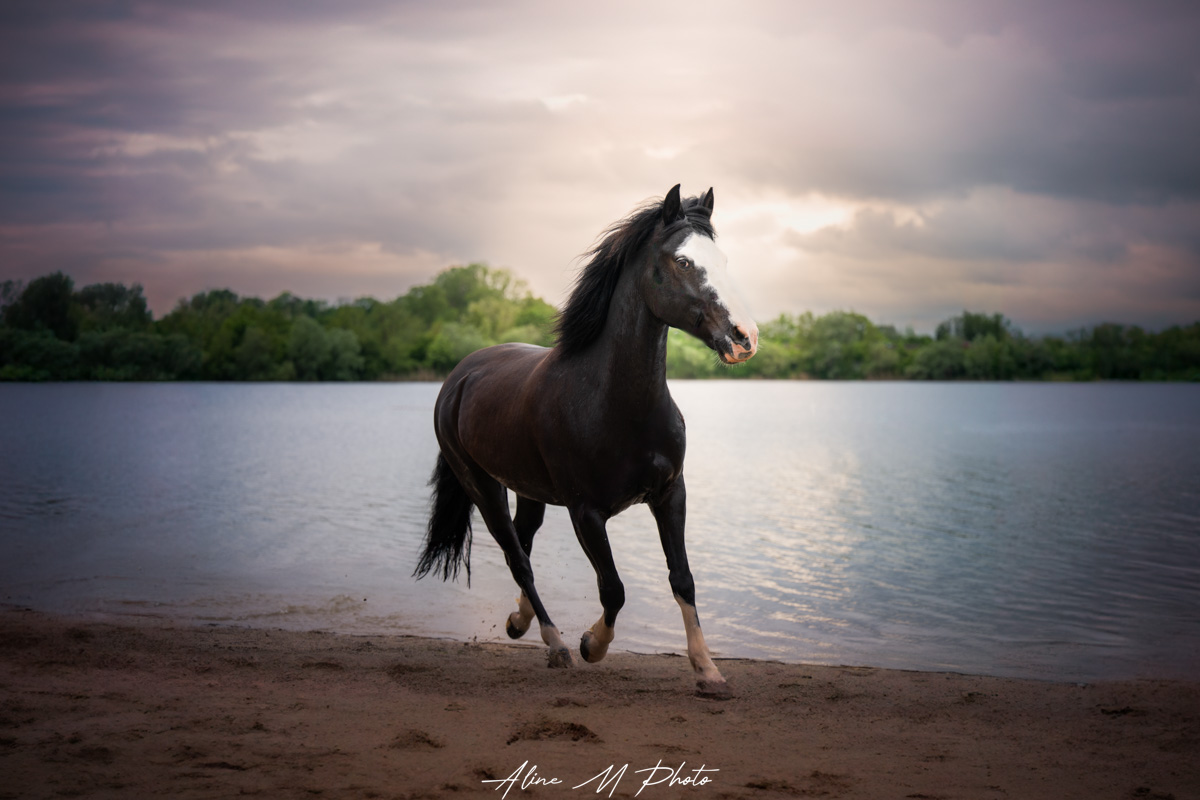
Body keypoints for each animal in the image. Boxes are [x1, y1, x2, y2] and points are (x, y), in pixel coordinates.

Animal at [412, 185, 758, 697]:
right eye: (683, 261)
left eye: (723, 259)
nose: (744, 338)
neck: (615, 404)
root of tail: (460, 375)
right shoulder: (586, 513)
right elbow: (613, 588)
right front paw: (591, 645)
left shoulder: (671, 494)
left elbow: (683, 579)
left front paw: (707, 670)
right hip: (483, 487)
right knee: (517, 558)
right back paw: (555, 644)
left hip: (529, 492)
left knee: (524, 543)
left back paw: (519, 621)